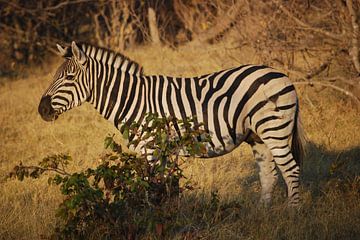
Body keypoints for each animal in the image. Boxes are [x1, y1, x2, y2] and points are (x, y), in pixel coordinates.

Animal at [38, 41, 304, 206]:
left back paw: (293, 213)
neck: (133, 98)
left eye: (69, 77)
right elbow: (166, 186)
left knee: (290, 170)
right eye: (55, 76)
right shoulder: (162, 150)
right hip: (257, 136)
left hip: (274, 128)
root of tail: (283, 75)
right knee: (268, 173)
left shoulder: (151, 147)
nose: (42, 110)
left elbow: (152, 187)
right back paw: (263, 214)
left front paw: (150, 217)